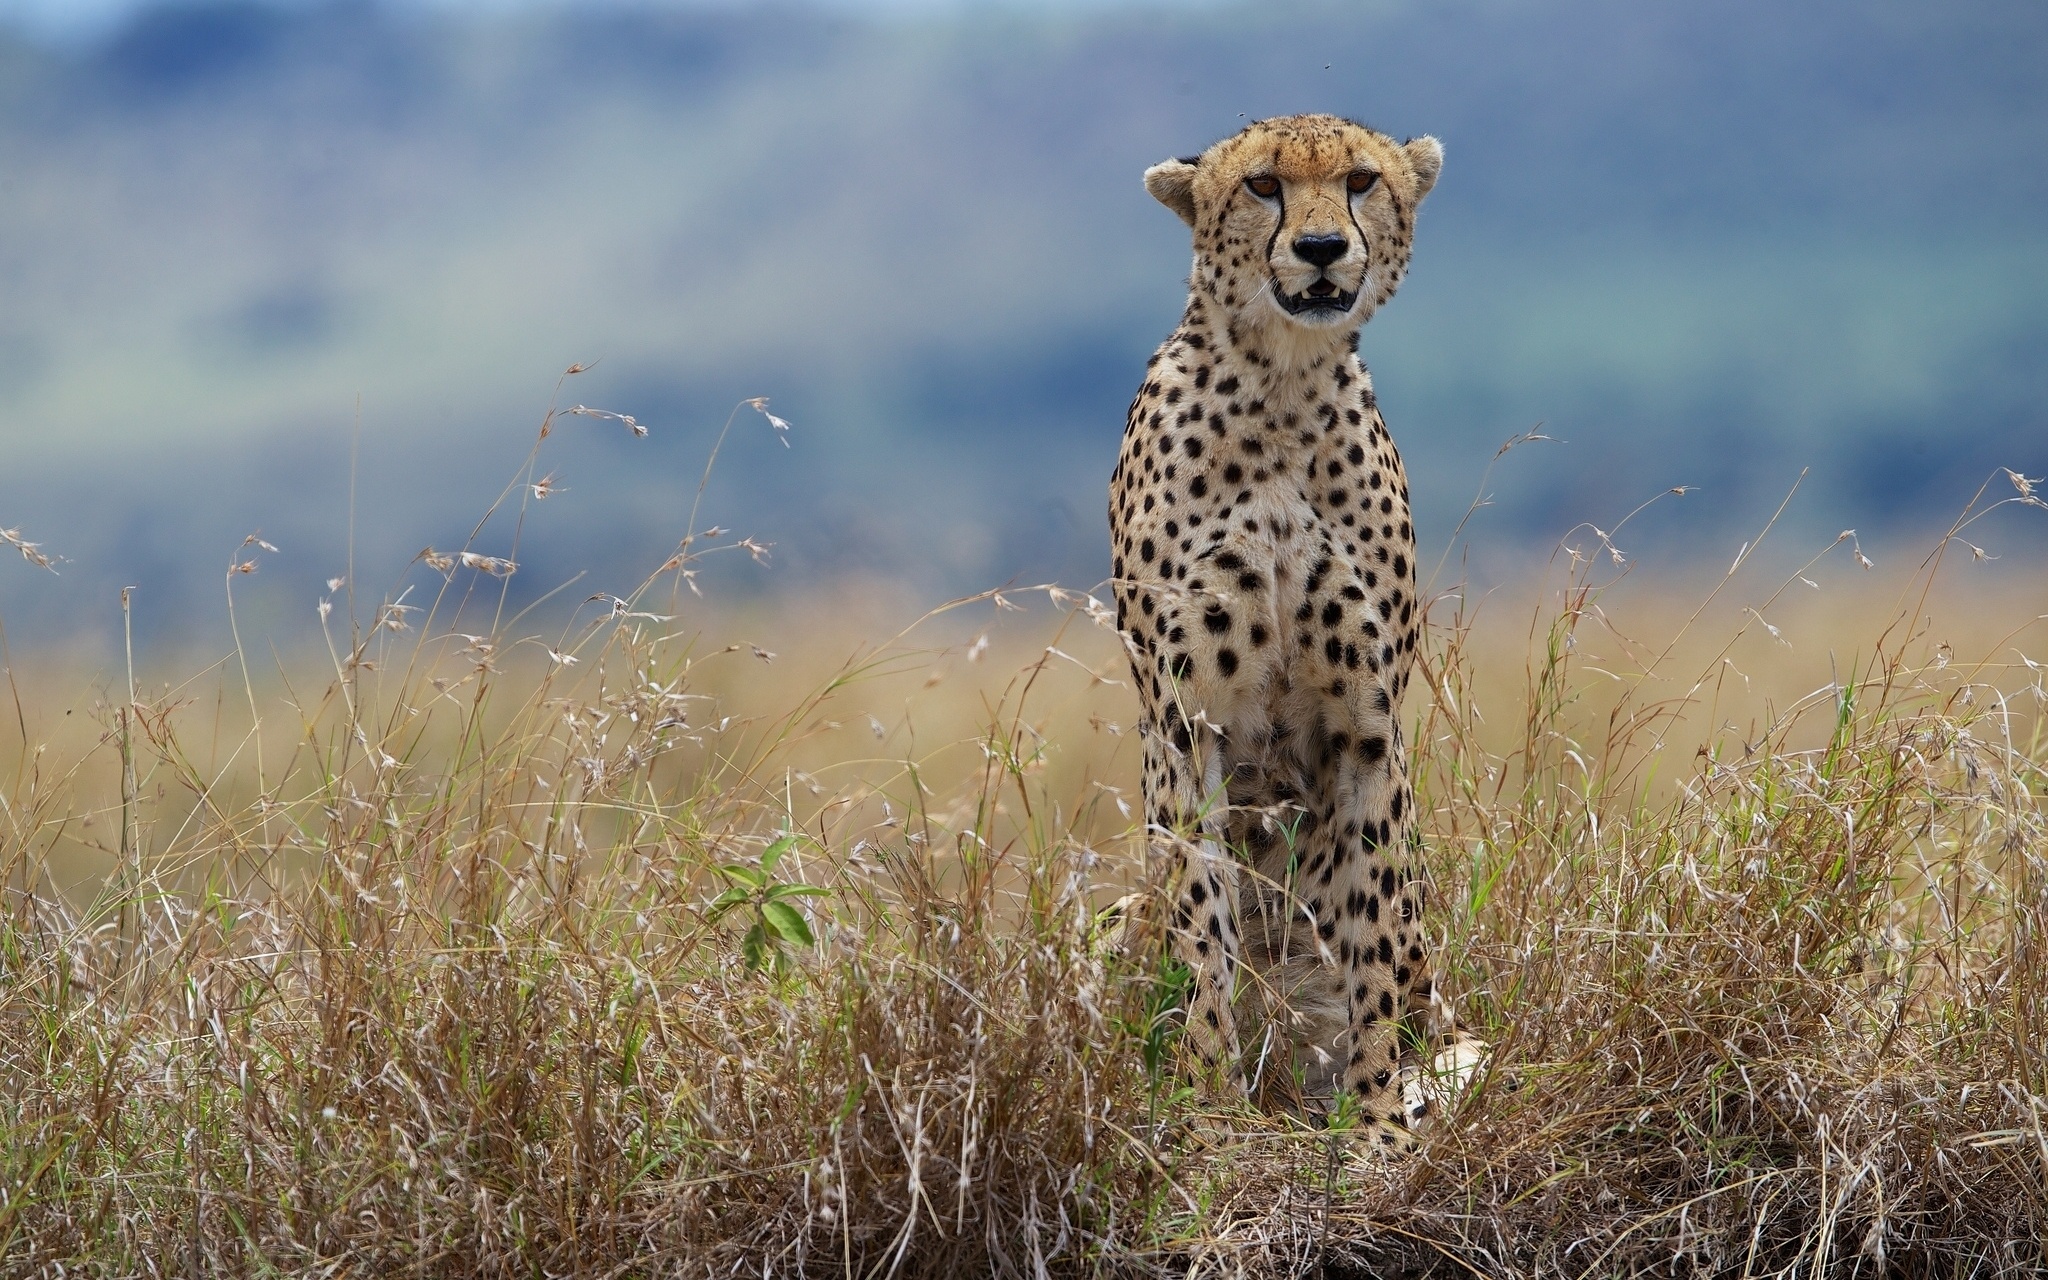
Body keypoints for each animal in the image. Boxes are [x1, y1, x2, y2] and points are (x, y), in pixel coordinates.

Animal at [1122, 114, 1441, 1146]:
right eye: (1263, 185)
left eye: (1361, 180)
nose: (1322, 247)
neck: (1283, 387)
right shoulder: (1183, 722)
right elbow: (1200, 921)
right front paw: (1207, 1100)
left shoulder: (1366, 727)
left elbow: (1370, 933)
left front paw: (1378, 1119)